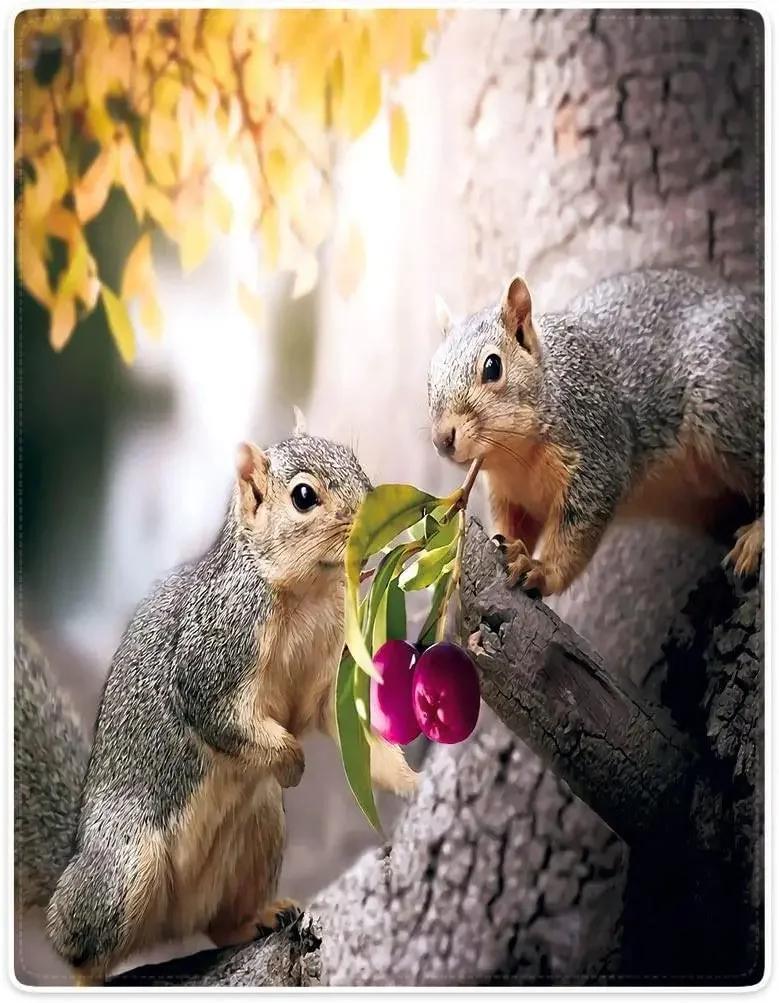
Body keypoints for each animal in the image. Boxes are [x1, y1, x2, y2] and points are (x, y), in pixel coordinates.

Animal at [41, 428, 417, 985]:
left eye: (356, 462)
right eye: (303, 496)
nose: (378, 514)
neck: (303, 593)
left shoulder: (328, 669)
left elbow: (349, 725)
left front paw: (410, 781)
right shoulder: (214, 653)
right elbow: (218, 715)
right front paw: (291, 761)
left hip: (260, 831)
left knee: (219, 924)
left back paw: (258, 918)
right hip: (124, 868)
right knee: (78, 951)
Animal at [428, 268, 763, 597]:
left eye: (493, 367)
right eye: (429, 379)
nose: (442, 440)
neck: (518, 456)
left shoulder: (597, 455)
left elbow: (575, 532)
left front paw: (540, 570)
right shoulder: (510, 495)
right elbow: (511, 525)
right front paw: (505, 545)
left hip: (725, 405)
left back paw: (754, 538)